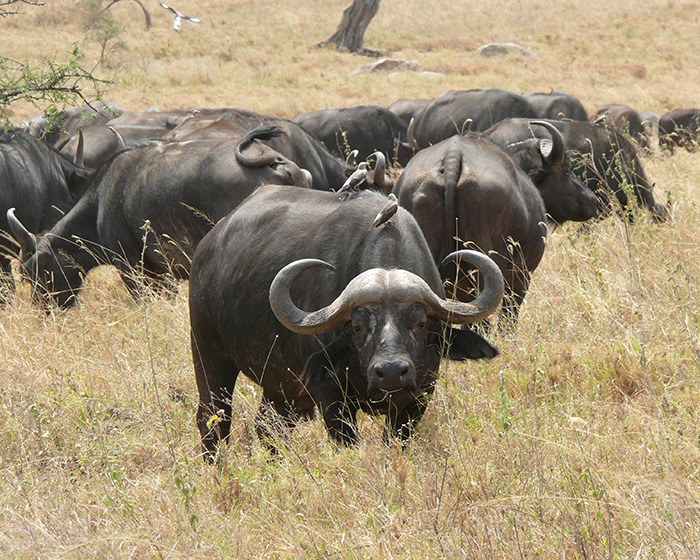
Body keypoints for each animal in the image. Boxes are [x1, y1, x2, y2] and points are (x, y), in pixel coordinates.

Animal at [189, 184, 504, 459]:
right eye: (357, 326)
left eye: (421, 323)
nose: (391, 372)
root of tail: (208, 247)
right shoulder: (331, 396)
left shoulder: (418, 396)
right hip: (208, 350)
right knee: (213, 419)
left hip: (279, 385)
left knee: (269, 428)